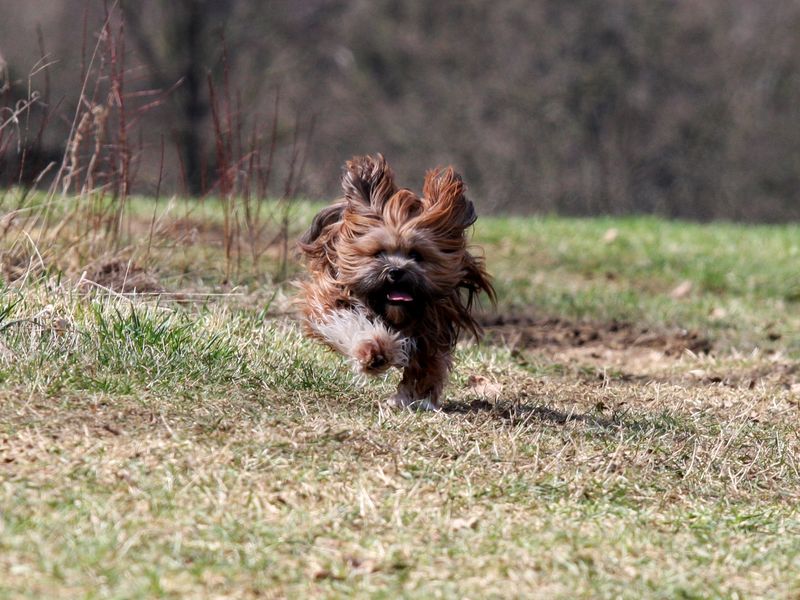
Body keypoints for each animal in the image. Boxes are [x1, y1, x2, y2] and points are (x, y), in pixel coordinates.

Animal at [297, 154, 495, 410]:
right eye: (379, 253)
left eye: (416, 255)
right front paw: (374, 353)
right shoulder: (332, 298)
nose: (396, 271)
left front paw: (414, 398)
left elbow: (427, 365)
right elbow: (351, 323)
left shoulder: (432, 326)